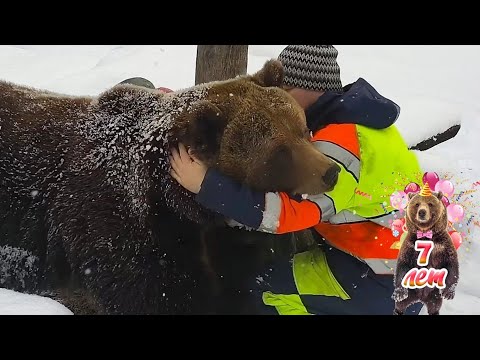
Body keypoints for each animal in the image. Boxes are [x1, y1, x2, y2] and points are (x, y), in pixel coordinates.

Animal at [392, 184, 460, 314]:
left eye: (430, 203)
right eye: (417, 204)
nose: (422, 212)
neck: (426, 234)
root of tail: (420, 298)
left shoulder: (442, 245)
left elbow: (451, 263)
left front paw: (449, 293)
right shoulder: (410, 245)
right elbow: (403, 264)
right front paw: (399, 293)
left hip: (434, 293)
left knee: (435, 305)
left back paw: (434, 311)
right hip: (411, 290)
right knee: (401, 304)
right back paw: (398, 310)